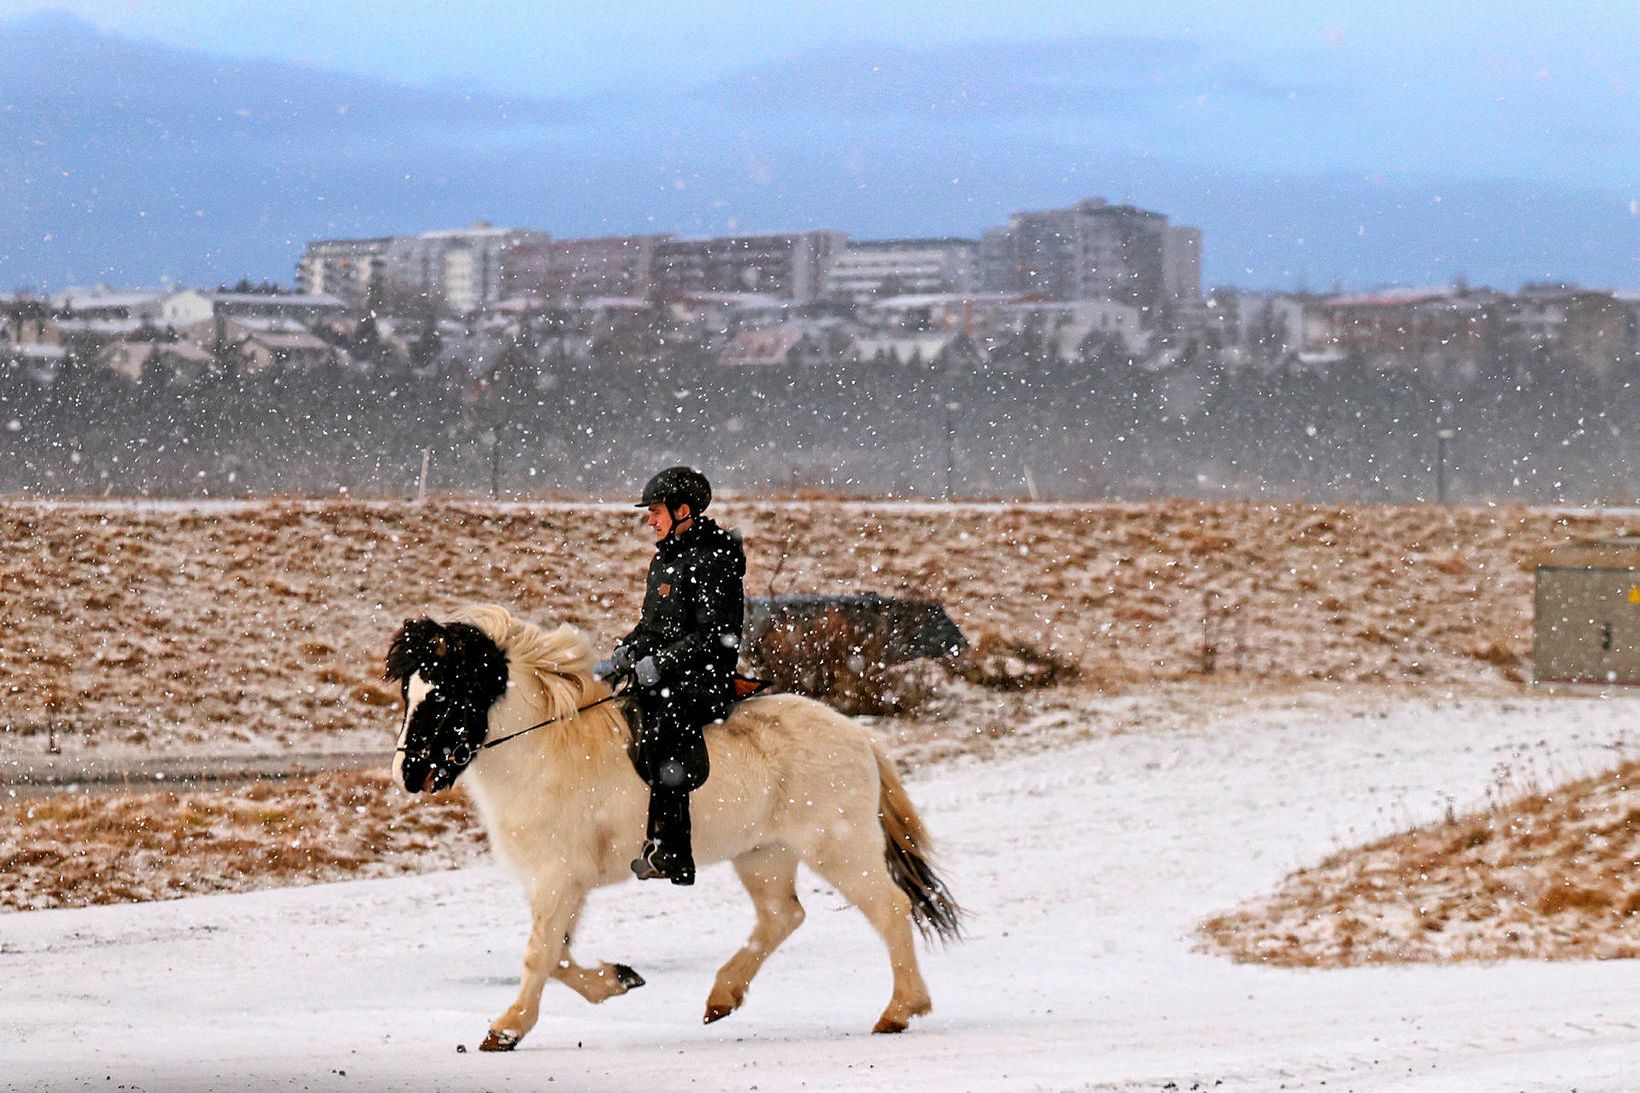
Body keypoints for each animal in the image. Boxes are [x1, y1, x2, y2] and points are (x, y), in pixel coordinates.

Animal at [383, 600, 957, 1050]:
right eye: (410, 692)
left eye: (447, 694)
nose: (407, 774)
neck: (544, 750)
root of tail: (860, 736)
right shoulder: (560, 884)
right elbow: (558, 955)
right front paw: (618, 979)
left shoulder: (558, 878)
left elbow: (538, 955)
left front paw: (505, 1029)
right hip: (763, 854)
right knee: (782, 917)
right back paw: (722, 998)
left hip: (838, 847)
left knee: (889, 909)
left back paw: (899, 1011)